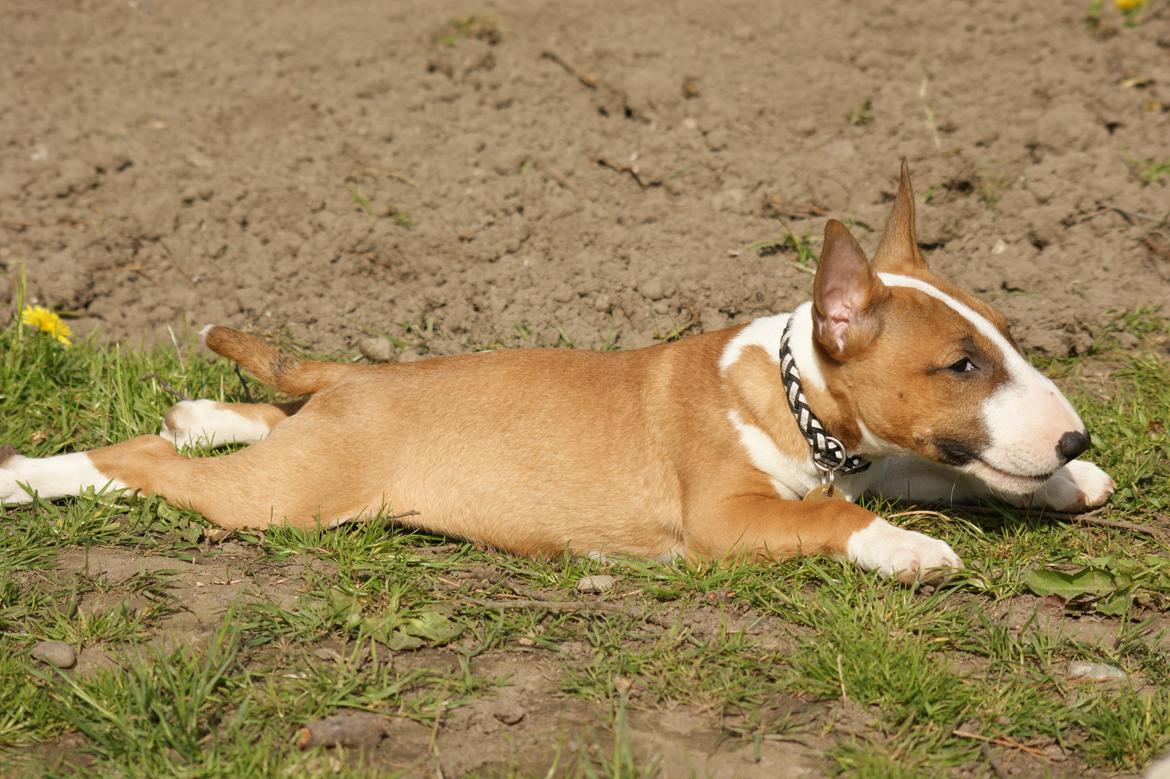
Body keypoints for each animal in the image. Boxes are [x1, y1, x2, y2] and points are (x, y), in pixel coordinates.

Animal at [0, 162, 1113, 575]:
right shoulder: (723, 516)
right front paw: (909, 548)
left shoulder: (871, 455)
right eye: (960, 362)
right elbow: (834, 518)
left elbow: (934, 465)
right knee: (144, 465)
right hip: (288, 500)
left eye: (1003, 336)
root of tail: (366, 382)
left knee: (254, 417)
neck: (791, 394)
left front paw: (1068, 483)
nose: (1075, 435)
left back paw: (200, 413)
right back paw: (30, 476)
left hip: (311, 439)